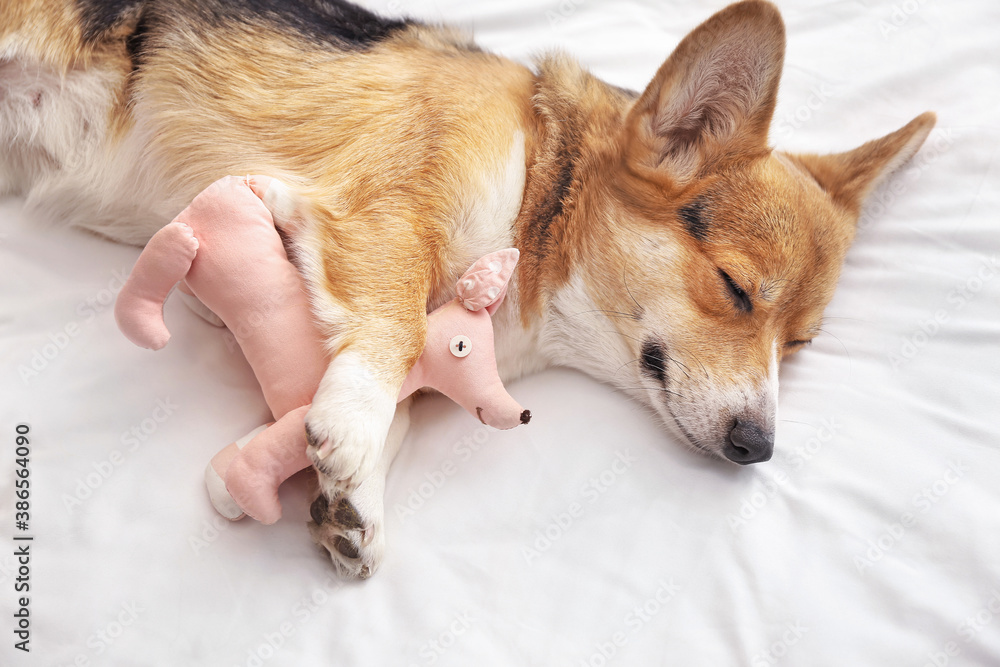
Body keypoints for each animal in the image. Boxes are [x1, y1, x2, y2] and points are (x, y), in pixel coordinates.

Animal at [1, 0, 936, 576]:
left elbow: (403, 401)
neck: (542, 198)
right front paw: (348, 428)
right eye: (735, 288)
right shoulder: (386, 210)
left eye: (800, 344)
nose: (759, 446)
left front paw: (352, 497)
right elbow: (394, 326)